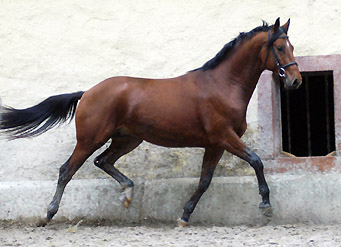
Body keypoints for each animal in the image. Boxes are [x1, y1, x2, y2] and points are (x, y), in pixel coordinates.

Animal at [0, 17, 300, 227]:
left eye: (293, 46)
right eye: (280, 47)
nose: (295, 81)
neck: (223, 85)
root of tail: (87, 92)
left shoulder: (214, 144)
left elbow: (205, 181)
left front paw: (184, 216)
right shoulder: (224, 137)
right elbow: (256, 161)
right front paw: (266, 205)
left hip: (127, 139)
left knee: (102, 161)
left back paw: (127, 193)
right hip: (90, 139)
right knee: (67, 170)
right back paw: (47, 215)